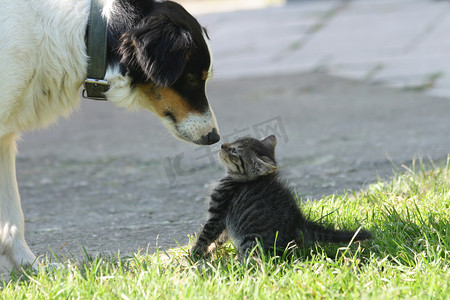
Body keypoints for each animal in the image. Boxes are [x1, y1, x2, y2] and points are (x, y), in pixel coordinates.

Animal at [0, 0, 220, 274]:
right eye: (191, 77)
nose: (214, 137)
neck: (84, 31)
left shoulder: (5, 138)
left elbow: (13, 218)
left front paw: (32, 270)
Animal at [192, 135, 370, 256]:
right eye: (234, 141)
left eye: (235, 150)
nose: (223, 145)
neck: (238, 179)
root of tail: (298, 220)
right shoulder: (225, 223)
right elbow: (219, 238)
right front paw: (210, 252)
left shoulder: (218, 213)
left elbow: (205, 237)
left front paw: (193, 256)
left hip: (251, 239)